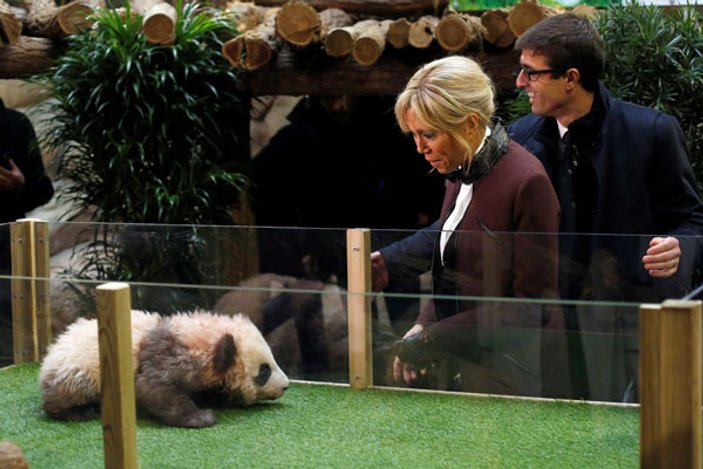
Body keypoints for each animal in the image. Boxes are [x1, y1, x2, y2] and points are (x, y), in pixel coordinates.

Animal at [37, 310, 292, 428]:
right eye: (264, 371)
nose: (286, 386)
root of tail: (49, 355)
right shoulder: (164, 354)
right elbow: (153, 388)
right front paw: (202, 417)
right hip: (78, 371)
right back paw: (79, 411)